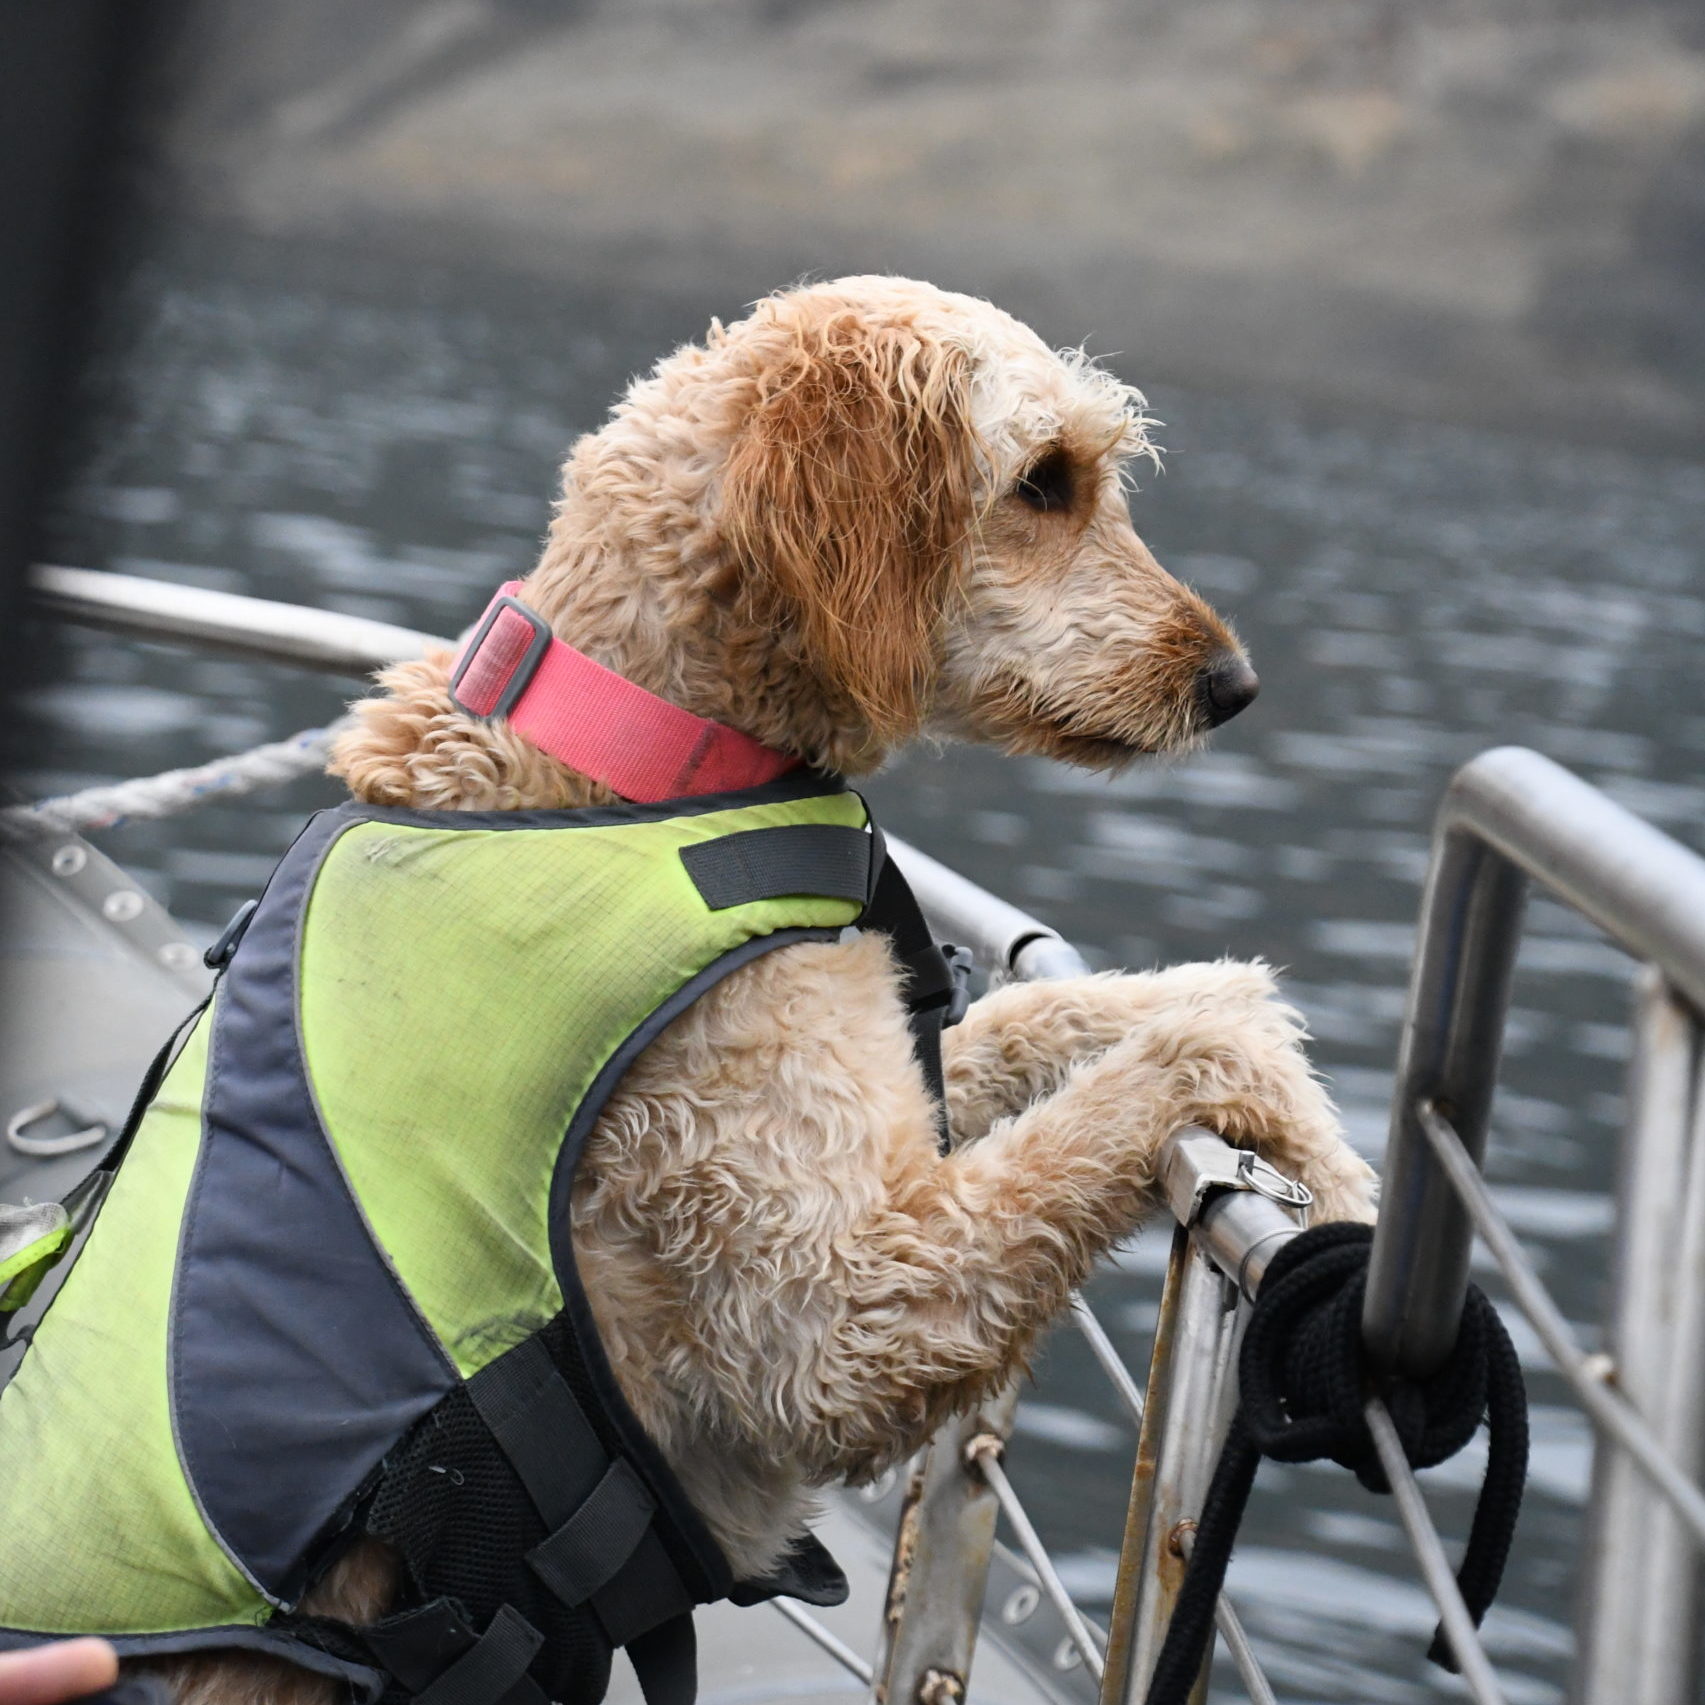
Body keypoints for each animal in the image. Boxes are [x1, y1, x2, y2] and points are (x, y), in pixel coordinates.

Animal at [143, 276, 1370, 1705]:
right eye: (1043, 481)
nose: (1234, 683)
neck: (639, 757)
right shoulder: (837, 1313)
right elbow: (1147, 1079)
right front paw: (1304, 1123)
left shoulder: (872, 1067)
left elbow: (1071, 1016)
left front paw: (1316, 1128)